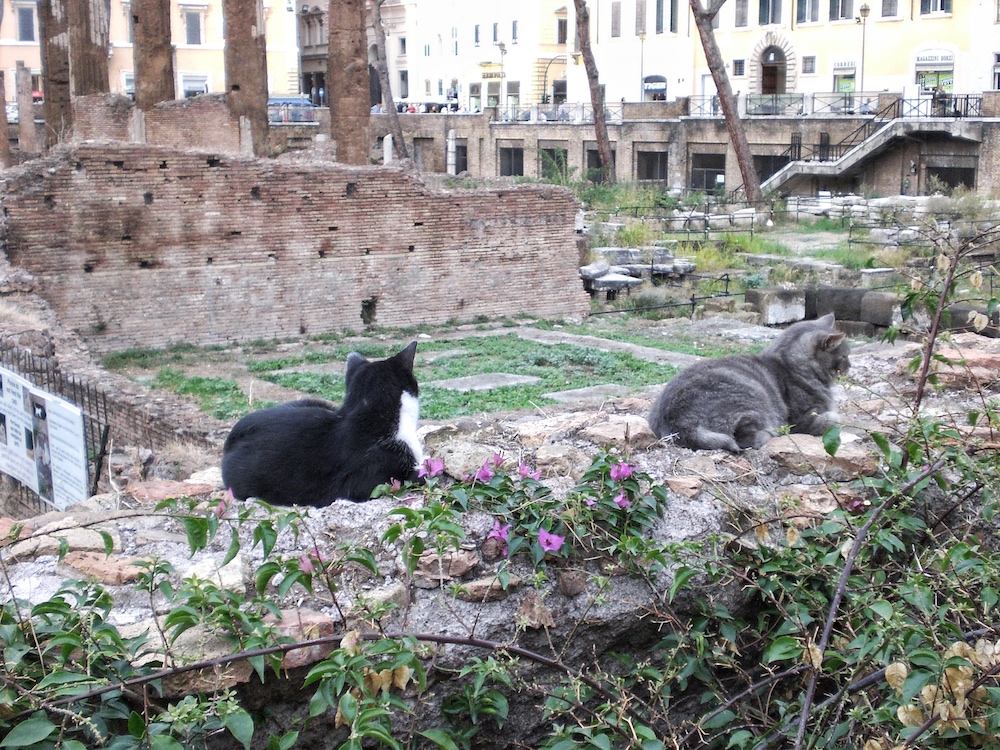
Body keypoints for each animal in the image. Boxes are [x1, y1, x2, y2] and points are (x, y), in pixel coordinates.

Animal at [648, 316, 852, 456]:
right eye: (845, 355)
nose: (850, 366)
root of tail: (679, 424)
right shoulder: (804, 418)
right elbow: (835, 419)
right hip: (753, 401)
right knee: (746, 438)